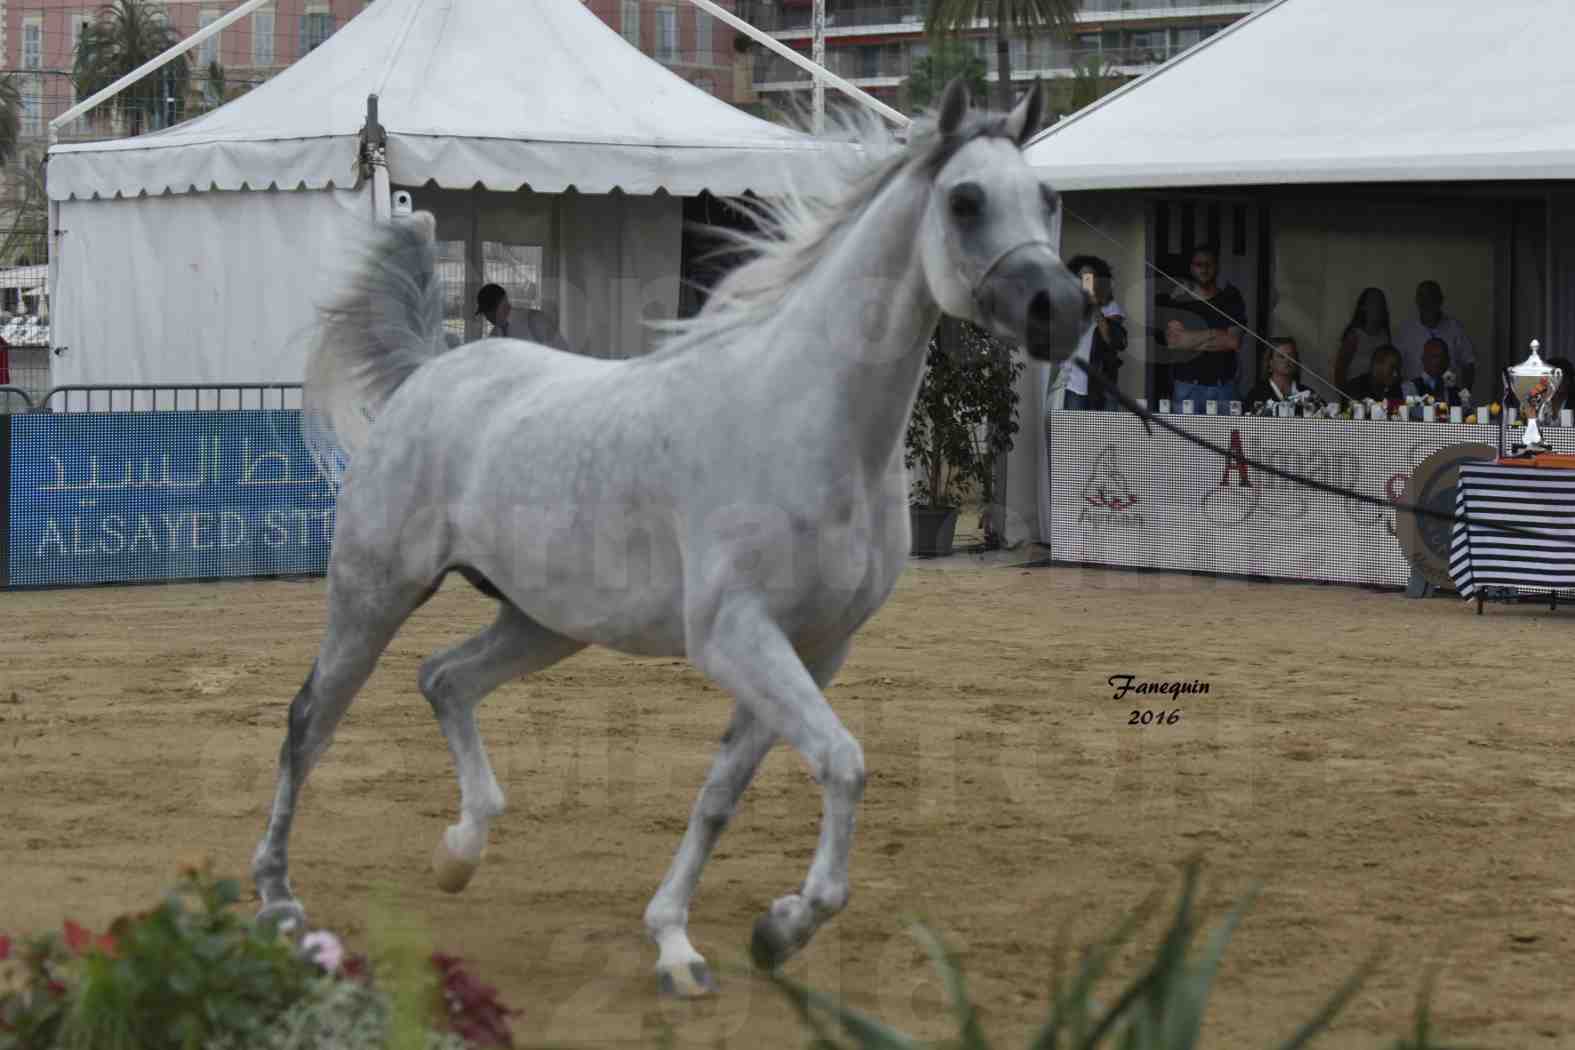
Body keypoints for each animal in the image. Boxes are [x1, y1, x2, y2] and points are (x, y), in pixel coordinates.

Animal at [252, 77, 1089, 1001]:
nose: (1064, 312)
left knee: (442, 680)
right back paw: (279, 901)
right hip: (374, 593)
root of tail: (431, 371)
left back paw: (459, 853)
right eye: (965, 200)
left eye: (1047, 198)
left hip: (543, 621)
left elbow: (721, 794)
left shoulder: (815, 647)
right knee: (308, 722)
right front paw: (775, 924)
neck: (810, 423)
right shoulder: (736, 636)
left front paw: (707, 941)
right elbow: (843, 762)